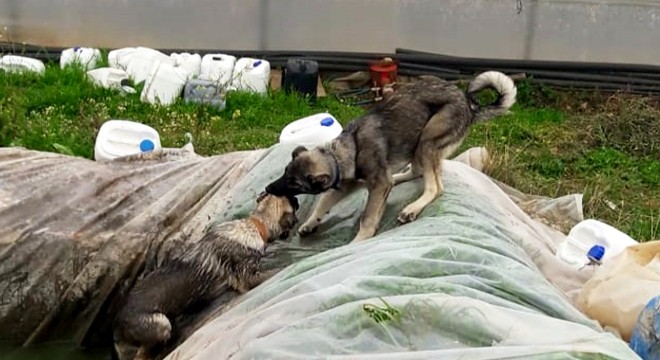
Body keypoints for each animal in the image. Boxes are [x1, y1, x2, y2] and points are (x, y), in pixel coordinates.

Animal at [113, 194, 300, 360]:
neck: (254, 226)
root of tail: (117, 326)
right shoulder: (247, 279)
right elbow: (277, 269)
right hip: (161, 323)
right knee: (143, 353)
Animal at [262, 71, 516, 242]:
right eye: (285, 172)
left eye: (295, 183)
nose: (267, 189)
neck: (347, 150)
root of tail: (470, 105)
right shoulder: (346, 186)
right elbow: (323, 203)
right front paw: (309, 223)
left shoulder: (376, 184)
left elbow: (367, 217)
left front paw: (359, 241)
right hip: (416, 145)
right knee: (416, 172)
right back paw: (399, 178)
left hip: (427, 140)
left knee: (435, 187)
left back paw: (411, 208)